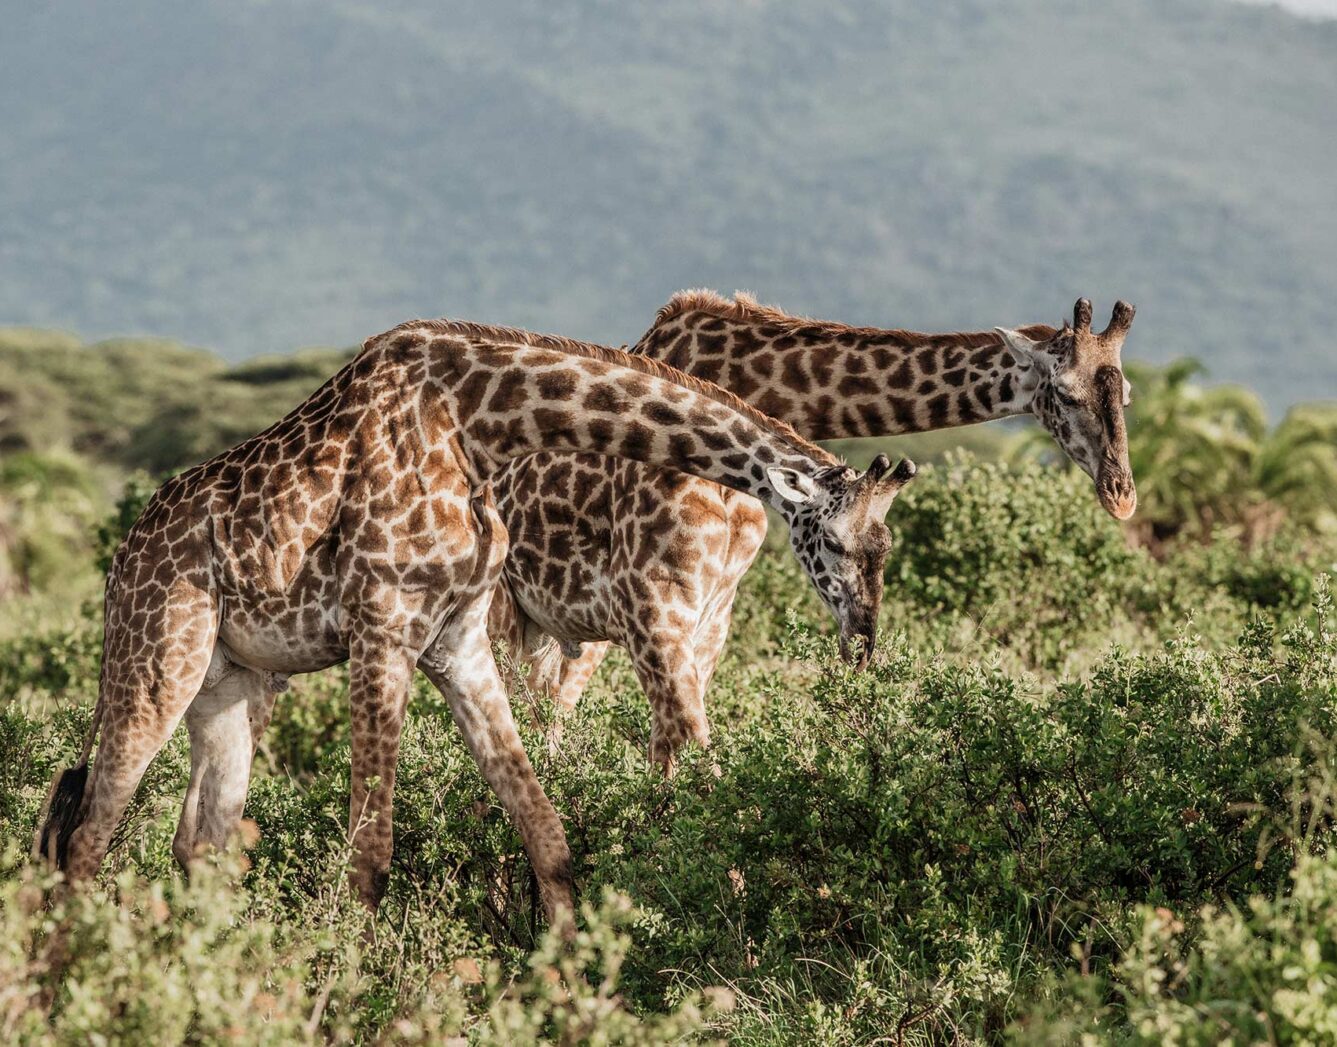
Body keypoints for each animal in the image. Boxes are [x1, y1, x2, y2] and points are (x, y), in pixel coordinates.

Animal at [31, 315, 914, 919]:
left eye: (887, 549)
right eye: (834, 541)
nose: (863, 643)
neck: (482, 427)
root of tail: (121, 558)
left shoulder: (456, 638)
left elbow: (549, 837)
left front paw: (569, 987)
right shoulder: (381, 627)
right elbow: (371, 857)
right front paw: (360, 992)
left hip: (234, 684)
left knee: (199, 844)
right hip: (158, 657)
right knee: (86, 836)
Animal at [486, 294, 1133, 770]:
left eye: (1125, 393)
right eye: (1065, 393)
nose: (1121, 495)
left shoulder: (711, 609)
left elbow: (668, 748)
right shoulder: (652, 597)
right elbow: (691, 746)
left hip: (559, 631)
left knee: (547, 716)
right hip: (503, 616)